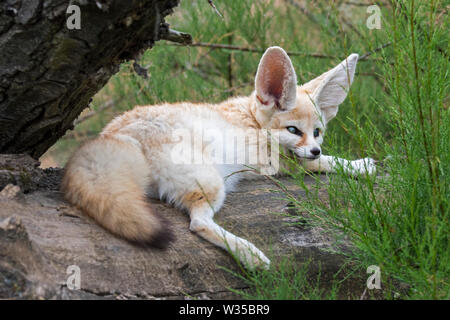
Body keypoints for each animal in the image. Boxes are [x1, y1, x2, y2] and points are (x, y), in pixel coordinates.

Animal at [60, 46, 376, 268]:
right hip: (212, 183)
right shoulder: (280, 165)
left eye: (318, 132)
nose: (315, 148)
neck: (253, 120)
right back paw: (250, 255)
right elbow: (326, 163)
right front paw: (359, 165)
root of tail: (116, 135)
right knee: (197, 223)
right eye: (293, 130)